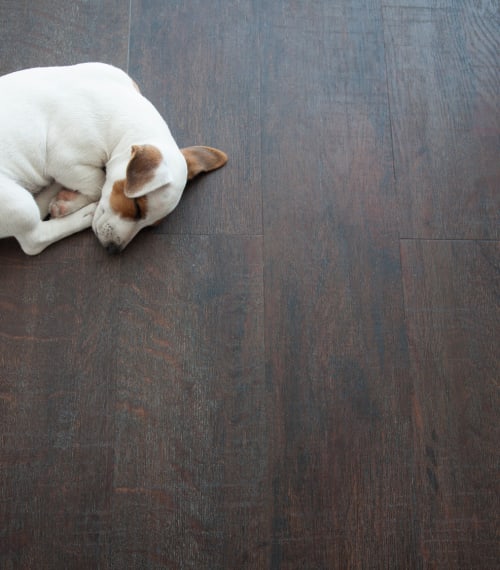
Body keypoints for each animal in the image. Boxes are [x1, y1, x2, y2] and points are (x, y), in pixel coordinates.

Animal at [0, 61, 227, 253]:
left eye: (151, 225)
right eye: (137, 209)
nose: (113, 250)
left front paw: (67, 200)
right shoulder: (65, 162)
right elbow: (99, 182)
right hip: (16, 201)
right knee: (33, 240)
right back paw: (83, 214)